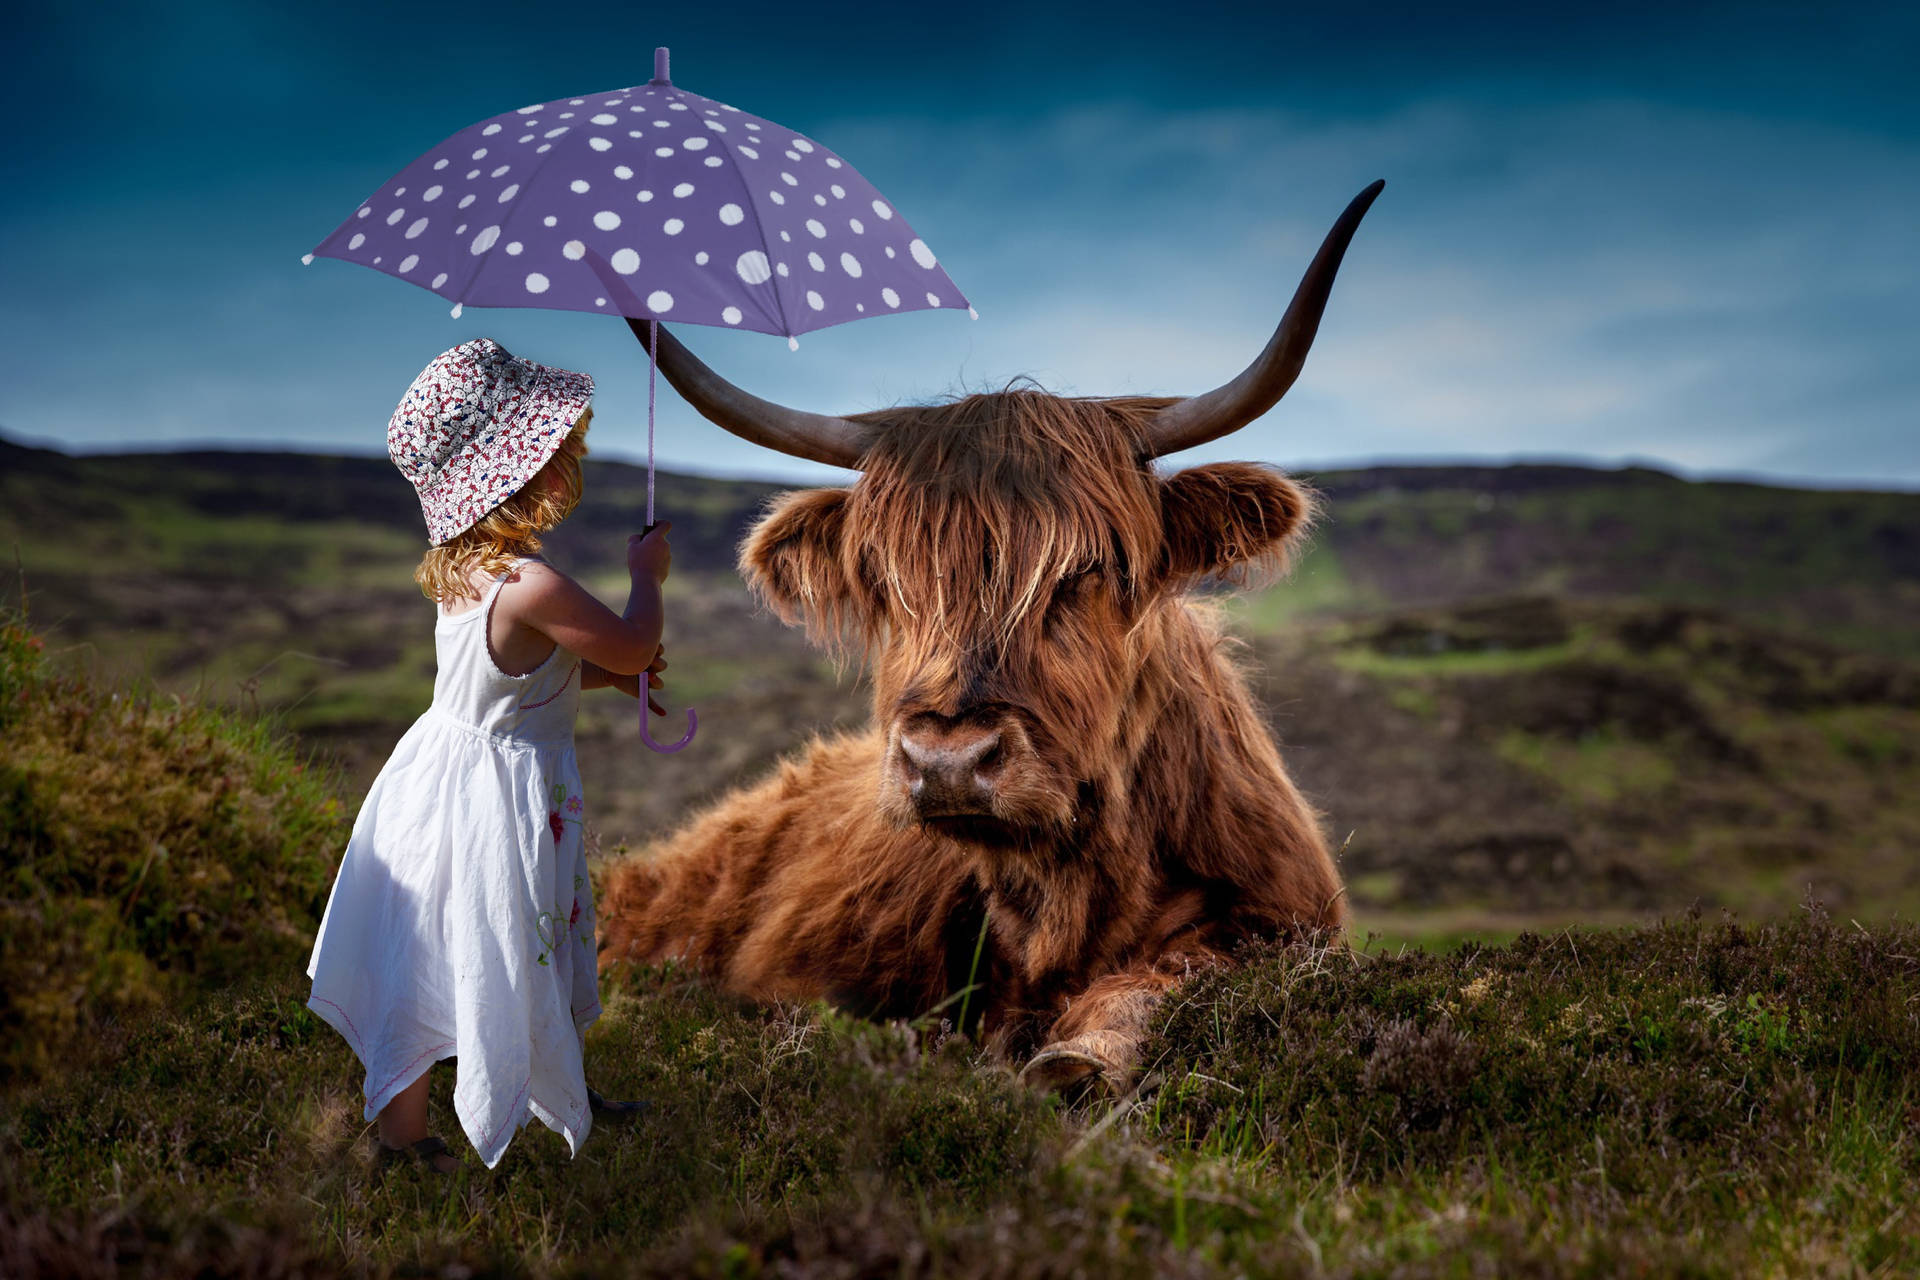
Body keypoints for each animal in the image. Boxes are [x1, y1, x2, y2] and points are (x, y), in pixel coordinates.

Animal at [599, 180, 1382, 1090]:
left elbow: (1177, 973)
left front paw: (1079, 1056)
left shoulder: (1282, 922)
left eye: (1091, 570)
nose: (947, 761)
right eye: (886, 577)